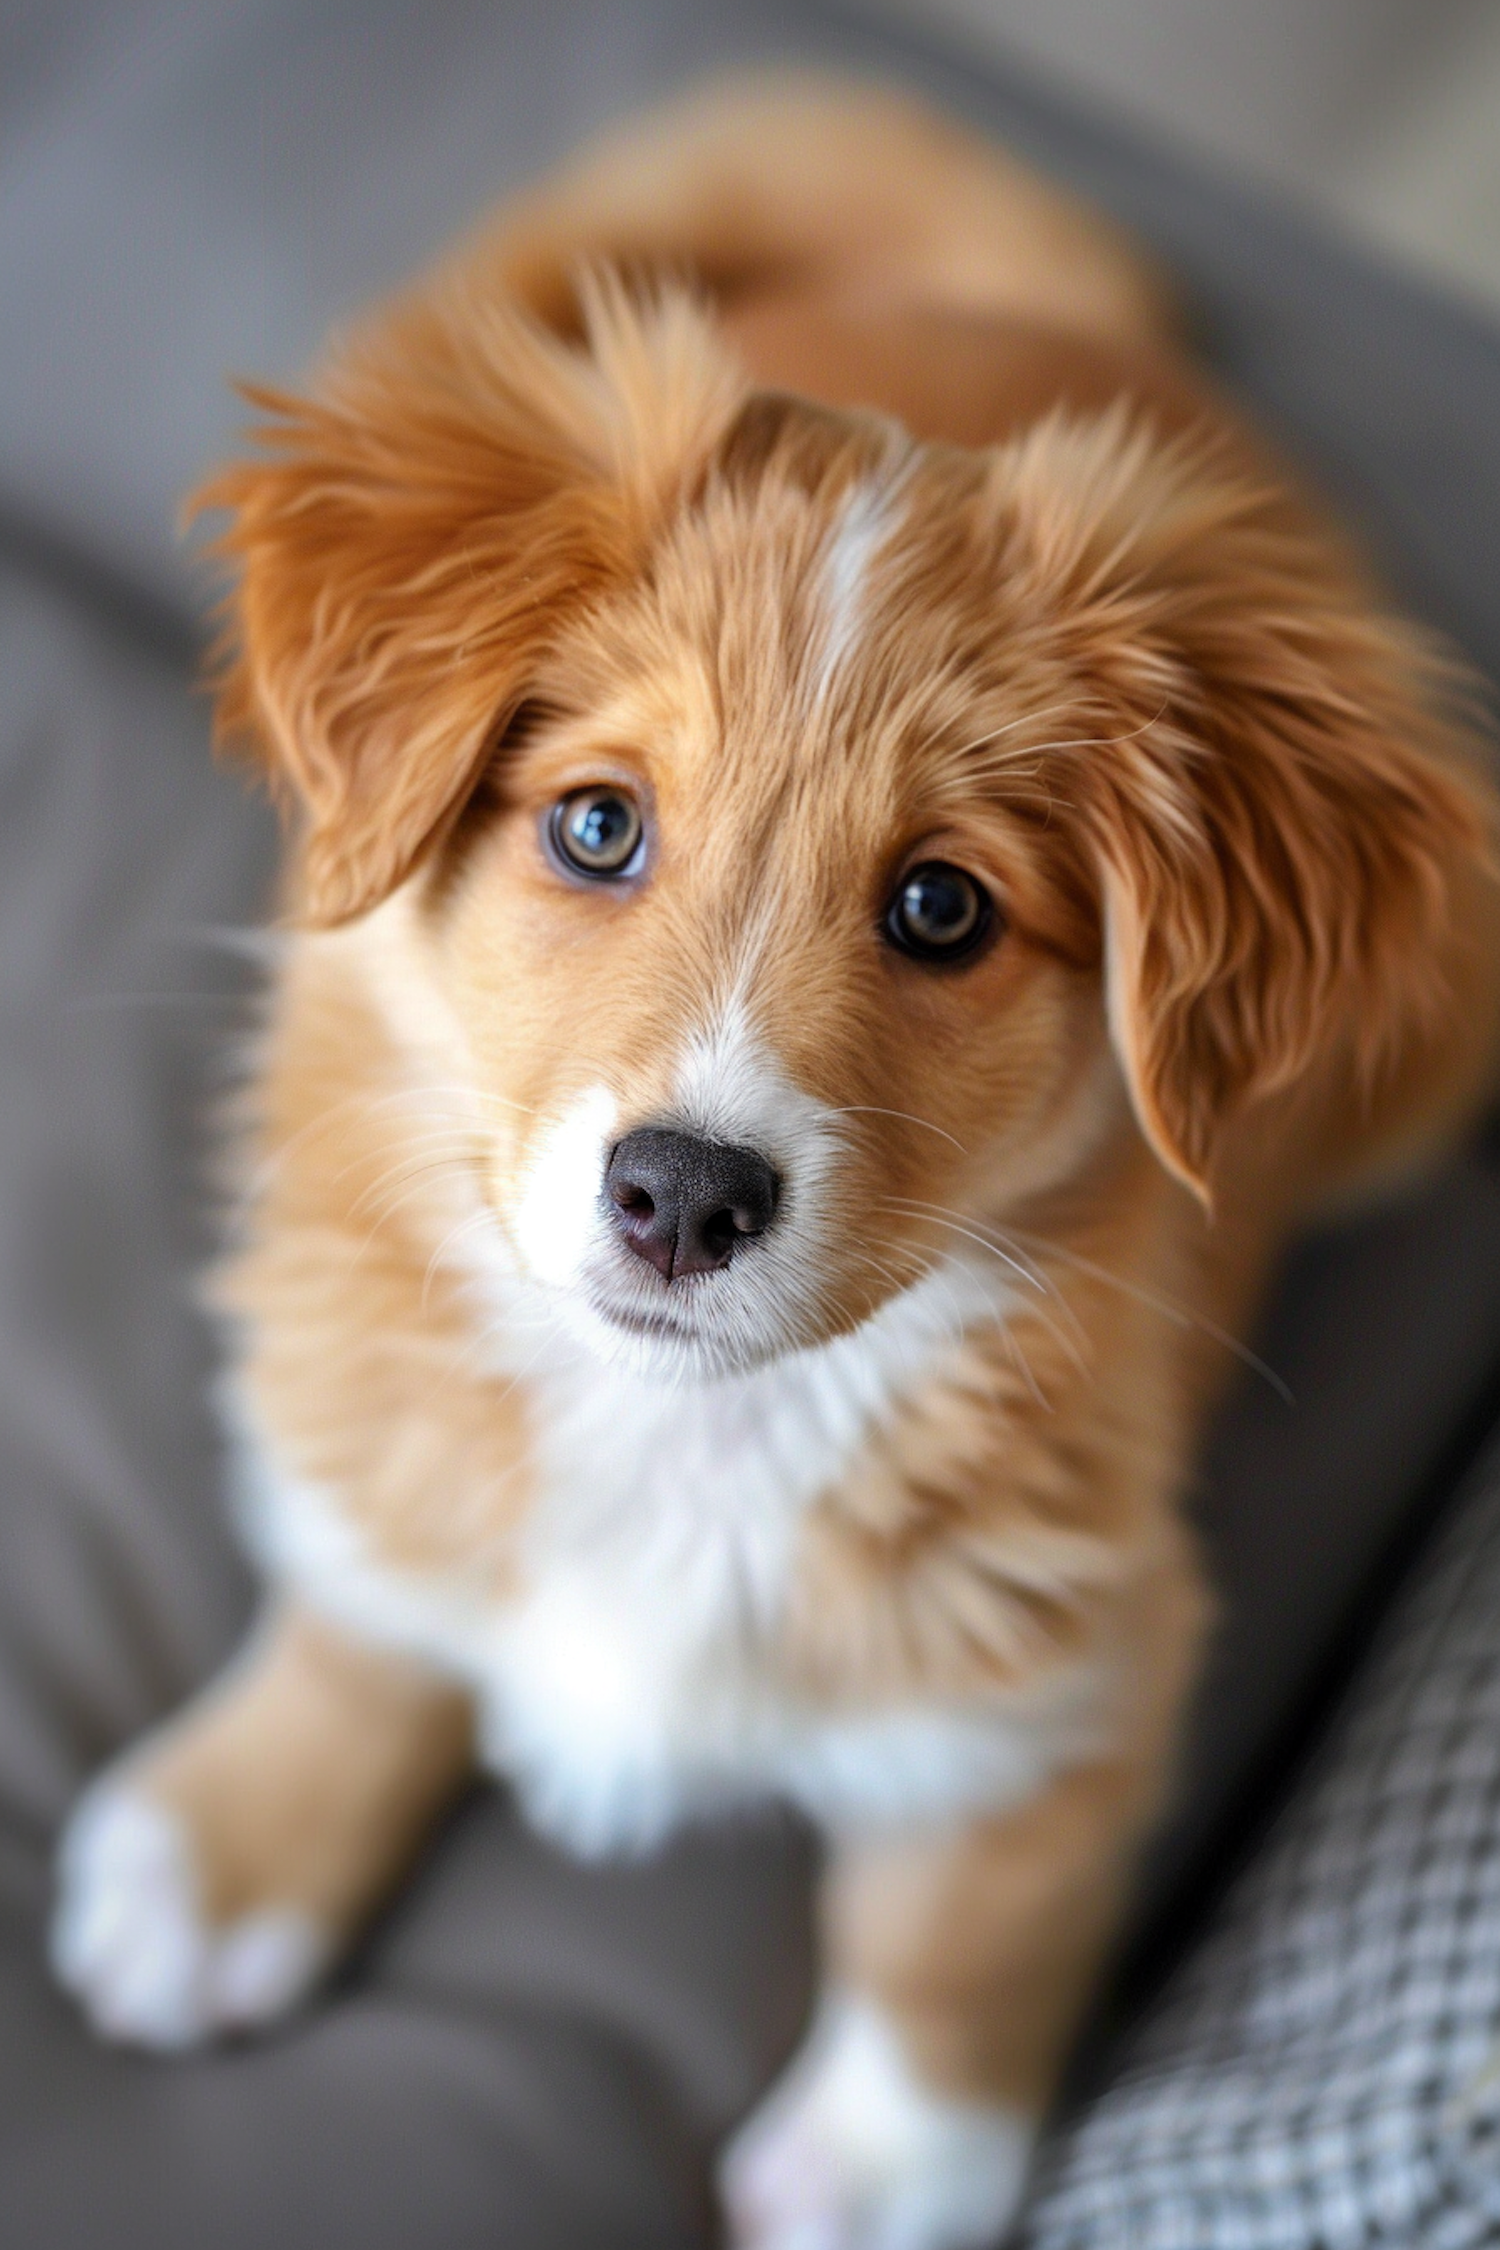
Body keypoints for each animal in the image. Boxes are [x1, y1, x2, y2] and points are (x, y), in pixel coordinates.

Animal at [49, 74, 1500, 2250]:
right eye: (595, 826)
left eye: (941, 908)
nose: (681, 1198)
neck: (686, 1435)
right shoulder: (360, 1384)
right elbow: (372, 1598)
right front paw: (231, 1852)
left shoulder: (1076, 1665)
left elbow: (958, 1927)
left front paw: (888, 2166)